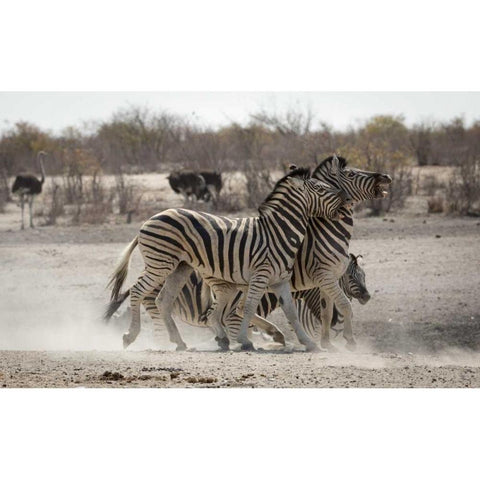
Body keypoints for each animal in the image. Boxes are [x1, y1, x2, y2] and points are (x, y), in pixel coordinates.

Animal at [107, 167, 350, 350]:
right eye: (320, 188)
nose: (346, 198)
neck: (278, 232)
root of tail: (150, 219)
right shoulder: (260, 275)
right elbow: (249, 307)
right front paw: (244, 340)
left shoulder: (279, 281)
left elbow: (291, 313)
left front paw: (309, 343)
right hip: (160, 263)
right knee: (138, 291)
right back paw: (130, 336)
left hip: (180, 267)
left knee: (162, 300)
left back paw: (180, 342)